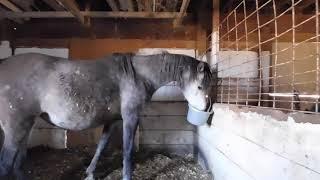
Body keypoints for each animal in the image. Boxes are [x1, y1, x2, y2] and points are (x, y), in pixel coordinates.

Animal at [0, 51, 215, 179]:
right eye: (199, 86)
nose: (206, 108)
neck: (138, 75)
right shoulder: (130, 118)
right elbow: (127, 151)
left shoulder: (112, 121)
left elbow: (101, 147)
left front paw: (90, 172)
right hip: (16, 128)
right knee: (6, 162)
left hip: (26, 126)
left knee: (17, 162)